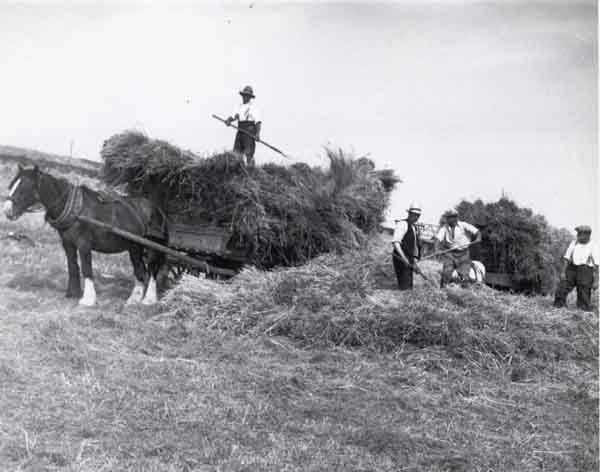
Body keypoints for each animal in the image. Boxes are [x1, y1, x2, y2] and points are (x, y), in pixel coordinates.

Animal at [2, 166, 166, 306]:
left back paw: (149, 299)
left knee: (151, 270)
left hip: (151, 247)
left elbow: (87, 268)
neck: (75, 209)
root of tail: (157, 210)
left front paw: (88, 299)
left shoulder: (84, 243)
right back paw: (134, 298)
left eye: (24, 188)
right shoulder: (67, 243)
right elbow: (72, 266)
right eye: (12, 185)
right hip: (134, 247)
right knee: (140, 269)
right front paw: (72, 293)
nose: (7, 211)